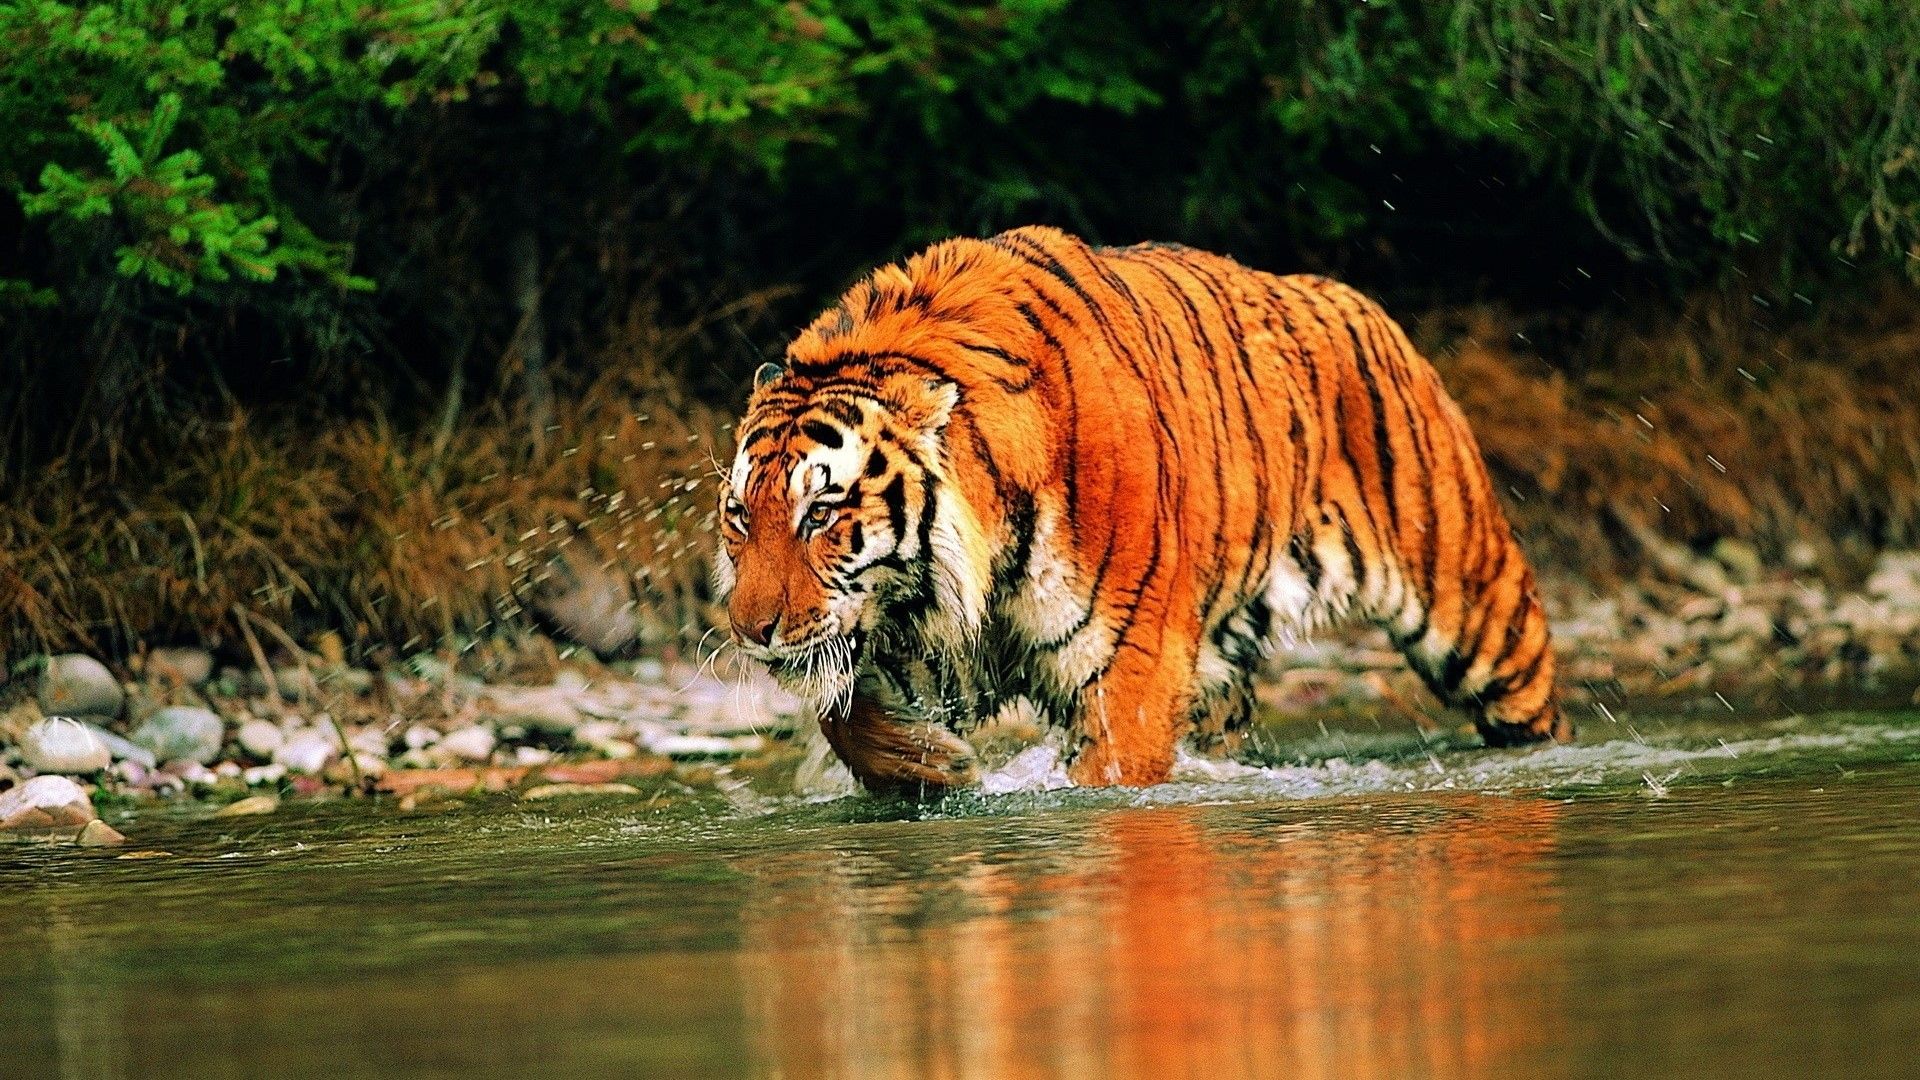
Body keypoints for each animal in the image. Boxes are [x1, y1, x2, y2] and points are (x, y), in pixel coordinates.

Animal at [714, 226, 1570, 794]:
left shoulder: (1128, 668)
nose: (750, 631)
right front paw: (933, 766)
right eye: (740, 518)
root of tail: (1358, 301)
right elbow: (843, 715)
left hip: (1478, 611)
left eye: (821, 515)